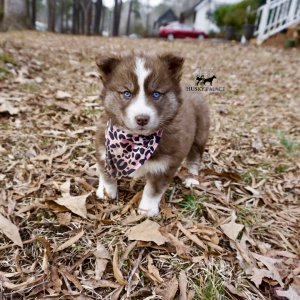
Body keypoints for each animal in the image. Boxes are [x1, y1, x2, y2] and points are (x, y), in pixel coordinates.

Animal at [95, 51, 210, 216]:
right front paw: (106, 192)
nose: (142, 118)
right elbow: (106, 174)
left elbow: (153, 190)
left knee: (195, 157)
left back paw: (192, 179)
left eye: (156, 94)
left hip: (200, 133)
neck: (135, 140)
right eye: (127, 93)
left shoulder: (165, 165)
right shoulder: (104, 149)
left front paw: (147, 210)